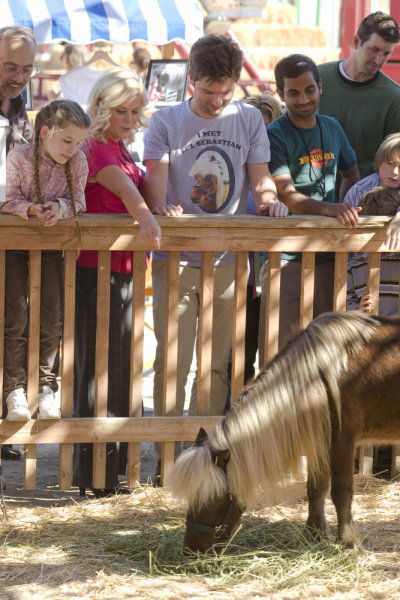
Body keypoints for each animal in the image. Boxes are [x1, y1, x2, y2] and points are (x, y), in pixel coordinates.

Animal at [167, 312, 400, 552]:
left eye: (212, 497)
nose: (190, 549)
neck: (319, 374)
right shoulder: (320, 441)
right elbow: (315, 488)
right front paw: (314, 534)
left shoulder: (342, 441)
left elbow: (341, 491)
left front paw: (348, 541)